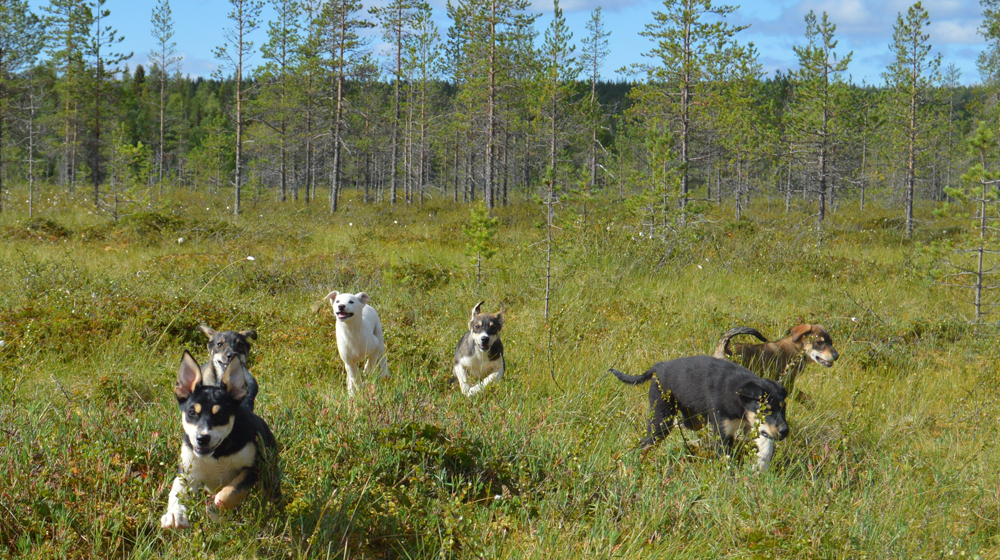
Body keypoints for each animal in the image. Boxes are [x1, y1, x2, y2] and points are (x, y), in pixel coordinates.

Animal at [160, 350, 280, 528]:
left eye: (221, 414)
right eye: (192, 412)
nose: (202, 438)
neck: (218, 454)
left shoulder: (254, 467)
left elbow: (233, 490)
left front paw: (217, 511)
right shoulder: (188, 472)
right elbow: (177, 491)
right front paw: (175, 514)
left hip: (270, 473)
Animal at [608, 356, 788, 470]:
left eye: (783, 408)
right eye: (766, 410)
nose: (785, 431)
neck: (738, 396)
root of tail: (658, 367)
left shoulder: (753, 426)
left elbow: (765, 446)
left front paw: (760, 467)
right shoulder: (724, 433)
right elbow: (728, 461)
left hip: (689, 418)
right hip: (661, 420)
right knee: (645, 444)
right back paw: (634, 466)